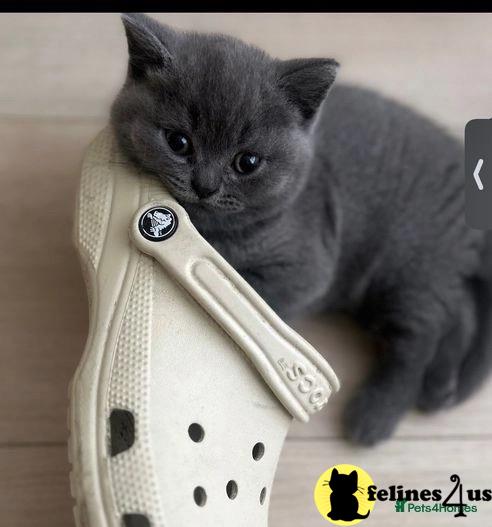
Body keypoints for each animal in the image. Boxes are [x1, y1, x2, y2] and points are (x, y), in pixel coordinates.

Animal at [111, 13, 492, 446]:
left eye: (247, 162)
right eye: (178, 142)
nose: (205, 185)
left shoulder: (307, 270)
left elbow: (255, 297)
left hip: (409, 261)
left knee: (420, 337)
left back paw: (376, 414)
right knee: (460, 311)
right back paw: (441, 387)